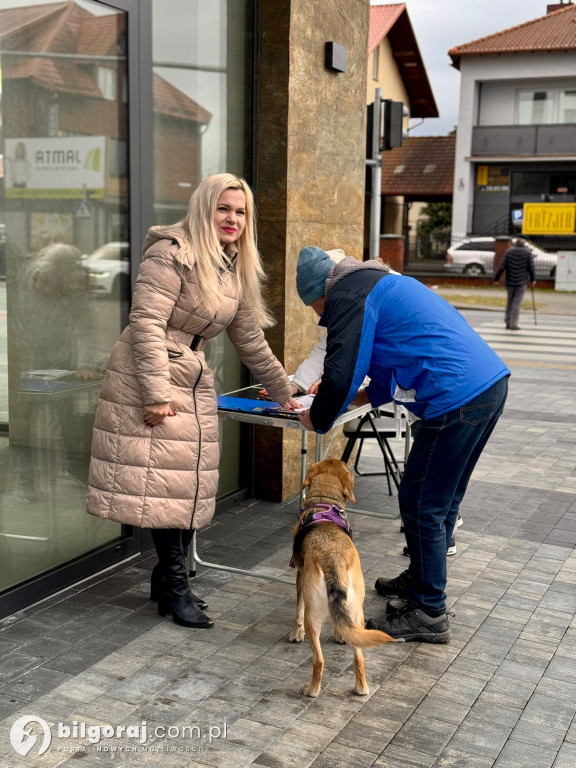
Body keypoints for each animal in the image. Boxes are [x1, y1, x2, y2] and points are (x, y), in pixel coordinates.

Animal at [290, 460, 394, 700]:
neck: (324, 502)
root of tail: (333, 559)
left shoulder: (300, 575)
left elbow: (298, 608)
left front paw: (296, 633)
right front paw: (339, 635)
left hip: (313, 616)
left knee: (319, 660)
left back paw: (311, 690)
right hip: (358, 614)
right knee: (359, 658)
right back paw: (361, 689)